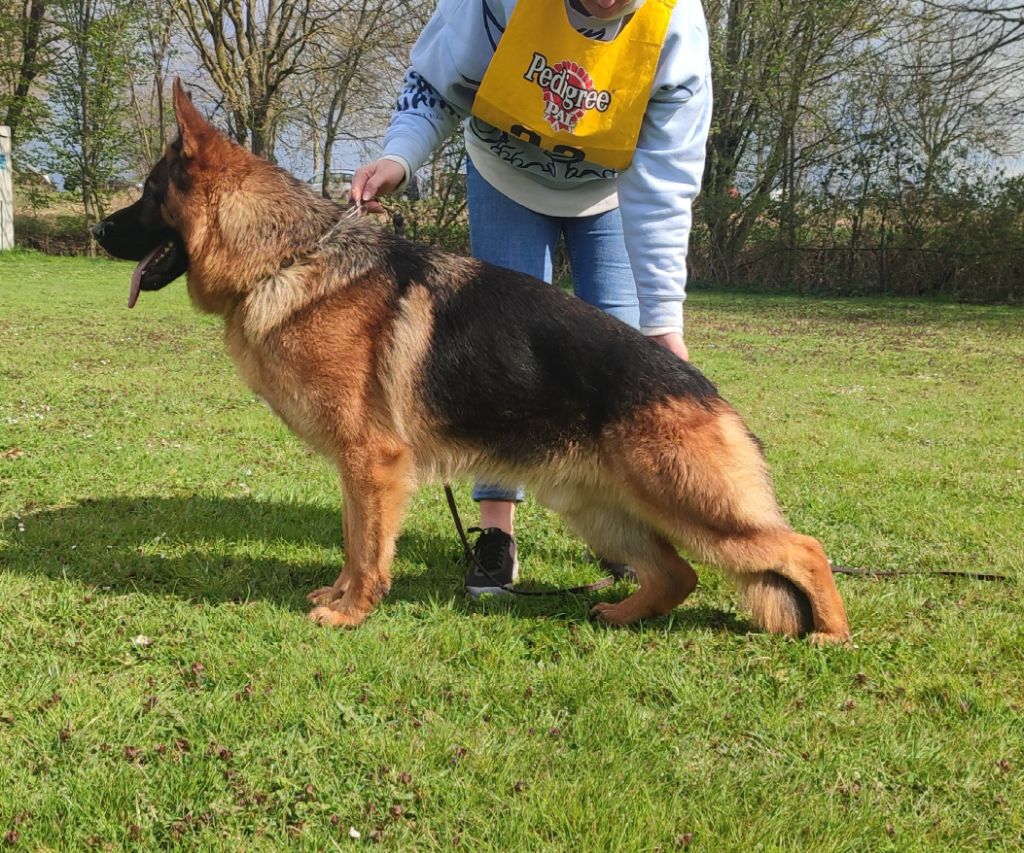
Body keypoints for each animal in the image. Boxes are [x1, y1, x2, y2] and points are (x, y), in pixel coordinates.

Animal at [92, 82, 851, 643]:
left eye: (148, 194)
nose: (97, 229)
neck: (283, 255)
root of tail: (707, 391)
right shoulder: (357, 469)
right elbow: (353, 539)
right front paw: (340, 594)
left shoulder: (372, 462)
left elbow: (368, 547)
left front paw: (352, 610)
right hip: (597, 506)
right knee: (677, 575)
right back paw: (619, 613)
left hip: (693, 504)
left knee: (802, 547)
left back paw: (830, 634)